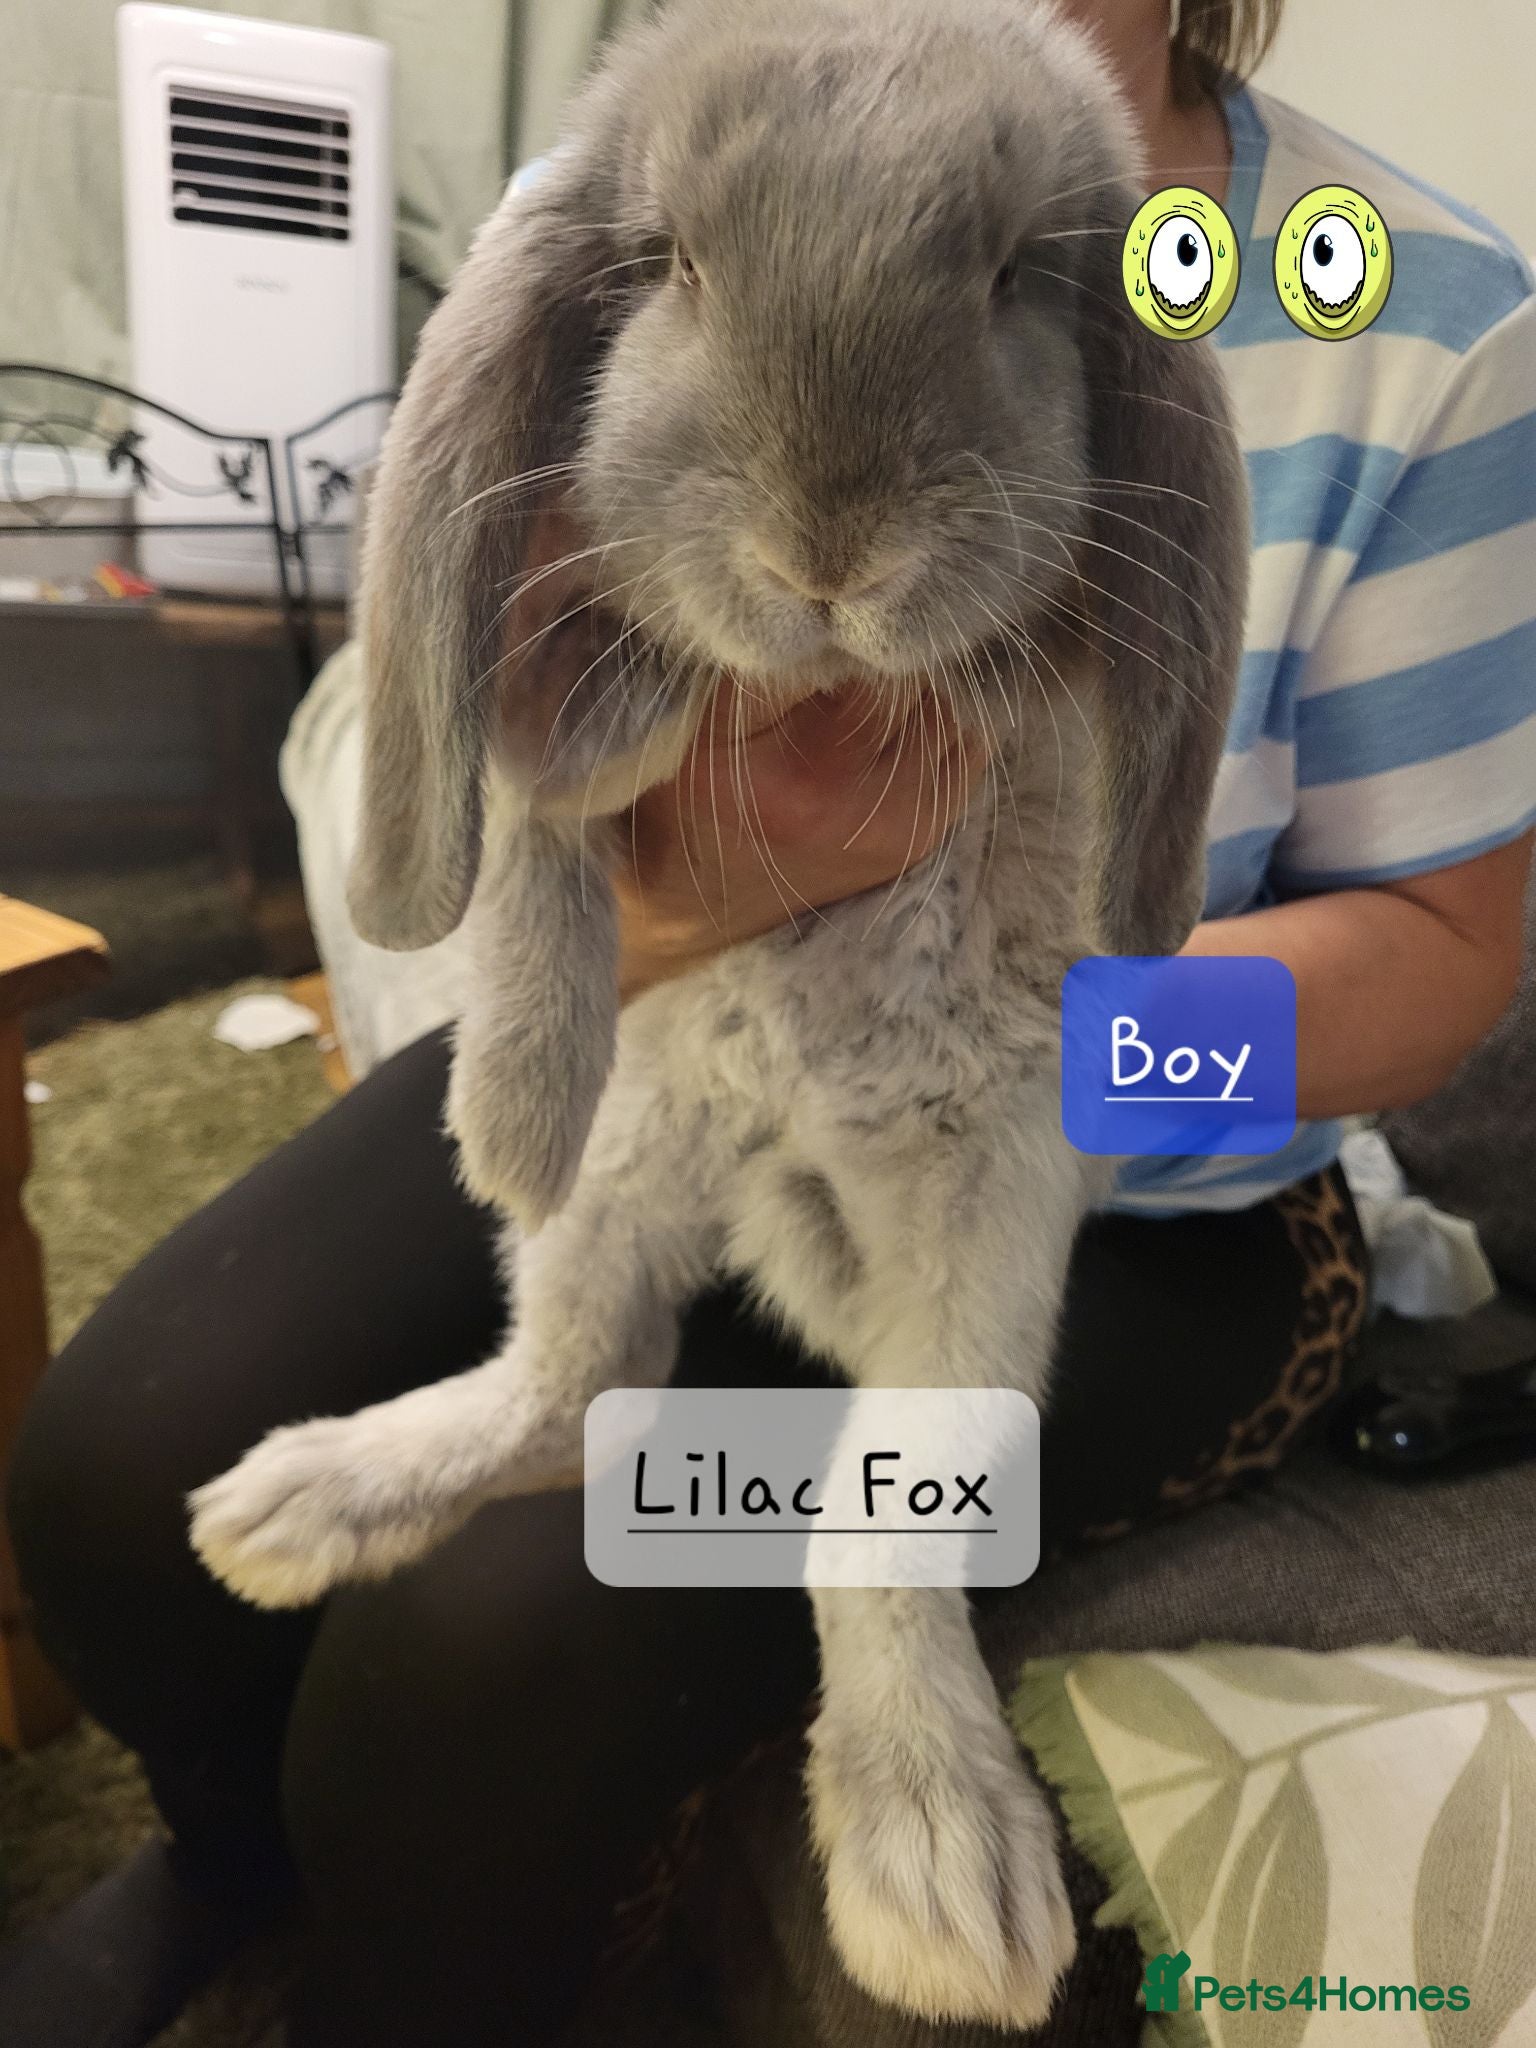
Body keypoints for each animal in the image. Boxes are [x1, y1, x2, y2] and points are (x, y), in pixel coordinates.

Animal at [189, 0, 1248, 2026]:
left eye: (1017, 274)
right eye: (669, 262)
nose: (825, 555)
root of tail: (767, 1198)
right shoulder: (544, 690)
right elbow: (543, 814)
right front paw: (502, 1102)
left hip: (979, 1270)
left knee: (862, 1534)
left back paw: (939, 1864)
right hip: (622, 1187)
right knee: (565, 1380)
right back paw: (308, 1495)